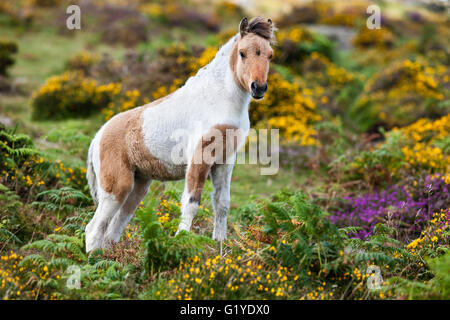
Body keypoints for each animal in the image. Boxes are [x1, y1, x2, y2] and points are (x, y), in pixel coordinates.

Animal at [84, 16, 274, 252]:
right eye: (242, 53)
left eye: (269, 55)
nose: (258, 88)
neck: (219, 98)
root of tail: (97, 137)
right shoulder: (200, 157)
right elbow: (191, 202)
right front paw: (181, 240)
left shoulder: (225, 160)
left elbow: (222, 203)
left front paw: (220, 246)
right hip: (117, 187)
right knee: (94, 228)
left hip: (138, 186)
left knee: (114, 228)